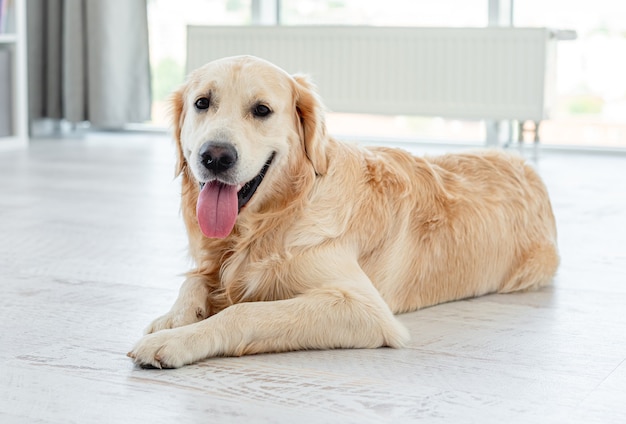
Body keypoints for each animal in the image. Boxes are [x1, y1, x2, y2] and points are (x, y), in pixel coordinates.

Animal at [129, 55, 560, 368]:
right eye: (202, 103)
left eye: (262, 110)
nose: (215, 156)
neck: (274, 219)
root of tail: (527, 168)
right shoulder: (213, 261)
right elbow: (194, 281)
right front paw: (173, 318)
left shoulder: (363, 308)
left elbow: (244, 313)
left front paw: (173, 340)